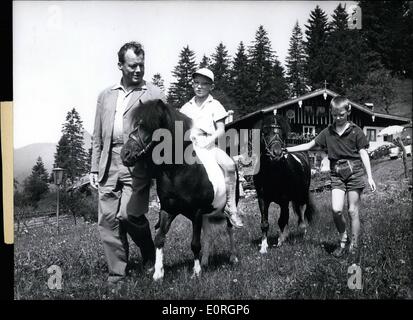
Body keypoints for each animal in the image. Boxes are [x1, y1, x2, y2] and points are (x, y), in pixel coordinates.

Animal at [120, 99, 237, 280]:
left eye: (150, 126)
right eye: (136, 125)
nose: (125, 154)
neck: (178, 171)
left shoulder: (196, 212)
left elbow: (195, 243)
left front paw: (196, 272)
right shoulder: (168, 210)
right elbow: (159, 238)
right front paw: (158, 273)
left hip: (224, 208)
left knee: (230, 229)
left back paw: (232, 257)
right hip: (207, 214)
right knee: (209, 234)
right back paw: (205, 261)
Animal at [251, 112, 316, 252]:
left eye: (282, 134)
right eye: (265, 132)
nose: (277, 153)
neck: (271, 173)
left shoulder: (284, 199)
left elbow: (282, 220)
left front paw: (280, 241)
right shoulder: (262, 199)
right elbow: (265, 223)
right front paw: (263, 247)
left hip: (302, 196)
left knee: (301, 214)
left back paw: (302, 233)